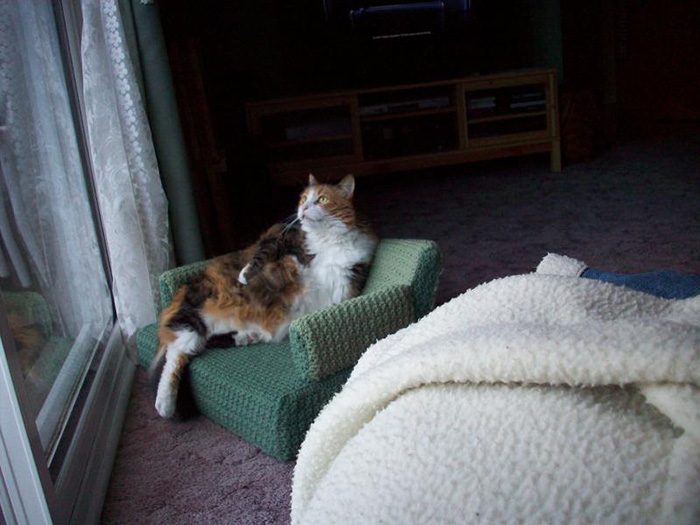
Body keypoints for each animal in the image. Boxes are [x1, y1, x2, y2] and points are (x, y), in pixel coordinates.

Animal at [150, 174, 374, 416]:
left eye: (322, 199)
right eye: (303, 198)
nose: (303, 208)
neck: (326, 239)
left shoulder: (346, 281)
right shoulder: (280, 235)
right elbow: (263, 255)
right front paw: (248, 276)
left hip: (205, 329)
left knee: (190, 348)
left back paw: (247, 336)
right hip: (192, 319)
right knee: (174, 356)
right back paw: (164, 404)